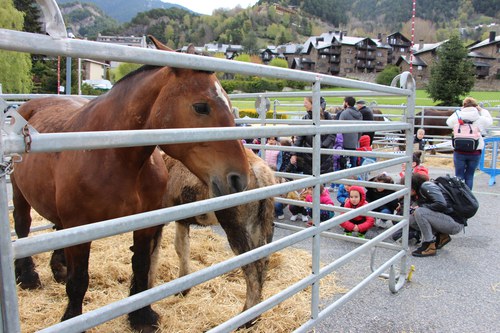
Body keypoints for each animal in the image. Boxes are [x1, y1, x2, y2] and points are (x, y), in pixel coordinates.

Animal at [13, 37, 250, 332]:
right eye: (201, 106)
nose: (239, 178)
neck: (113, 156)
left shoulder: (144, 223)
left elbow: (140, 266)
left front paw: (142, 316)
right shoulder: (80, 228)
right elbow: (79, 280)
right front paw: (72, 319)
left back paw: (58, 268)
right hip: (19, 193)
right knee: (22, 227)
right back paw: (27, 276)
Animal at [163, 148, 274, 326]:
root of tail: (262, 174)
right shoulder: (182, 220)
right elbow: (182, 248)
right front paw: (183, 289)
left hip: (235, 225)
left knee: (251, 266)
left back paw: (247, 317)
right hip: (261, 224)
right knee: (263, 261)